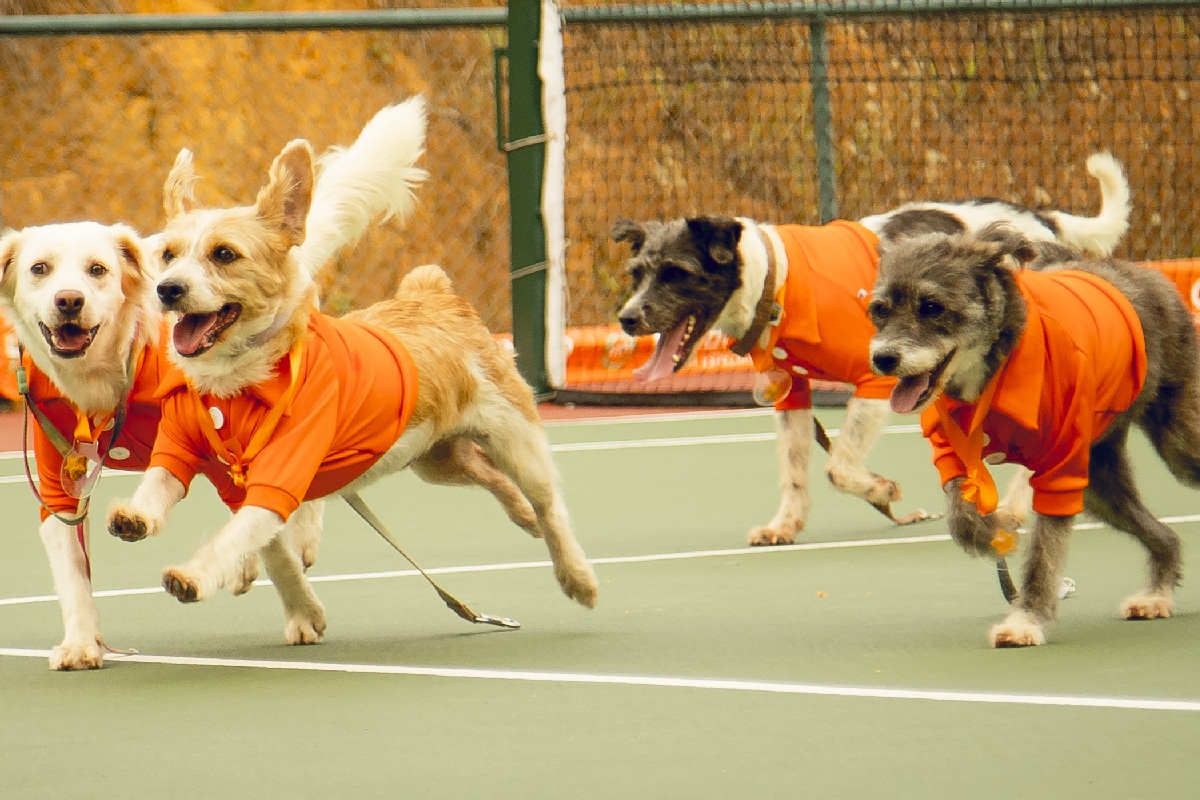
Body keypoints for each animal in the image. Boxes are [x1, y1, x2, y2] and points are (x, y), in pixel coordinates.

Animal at [105, 134, 597, 642]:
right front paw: (137, 515)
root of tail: (435, 296)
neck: (238, 381)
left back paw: (576, 576)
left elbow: (237, 536)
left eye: (224, 254)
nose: (167, 289)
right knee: (494, 478)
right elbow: (161, 486)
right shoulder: (180, 453)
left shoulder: (279, 478)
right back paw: (523, 516)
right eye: (167, 255)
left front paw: (196, 576)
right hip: (437, 458)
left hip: (516, 441)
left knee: (550, 507)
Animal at [614, 154, 1128, 546]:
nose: (627, 319)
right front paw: (786, 524)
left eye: (676, 273)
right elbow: (796, 470)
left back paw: (1020, 505)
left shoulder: (876, 381)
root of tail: (1040, 220)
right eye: (638, 274)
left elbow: (838, 466)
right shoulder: (791, 395)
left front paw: (882, 489)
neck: (774, 282)